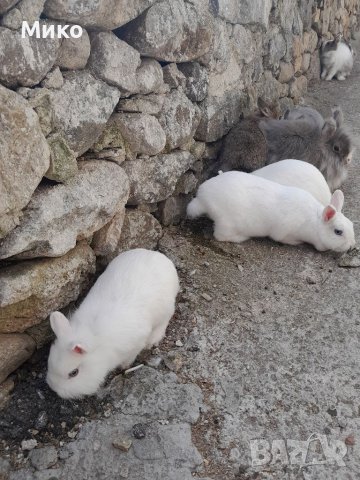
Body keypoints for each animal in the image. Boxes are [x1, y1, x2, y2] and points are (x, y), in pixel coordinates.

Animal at [46, 249, 179, 400]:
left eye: (74, 373)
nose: (54, 389)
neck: (94, 337)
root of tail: (160, 257)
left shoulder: (135, 344)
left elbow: (130, 357)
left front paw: (124, 367)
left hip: (166, 309)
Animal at [187, 172, 356, 253]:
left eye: (351, 225)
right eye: (338, 232)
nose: (351, 246)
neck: (314, 224)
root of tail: (202, 198)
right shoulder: (283, 233)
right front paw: (298, 243)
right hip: (227, 223)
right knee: (220, 236)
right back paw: (241, 238)